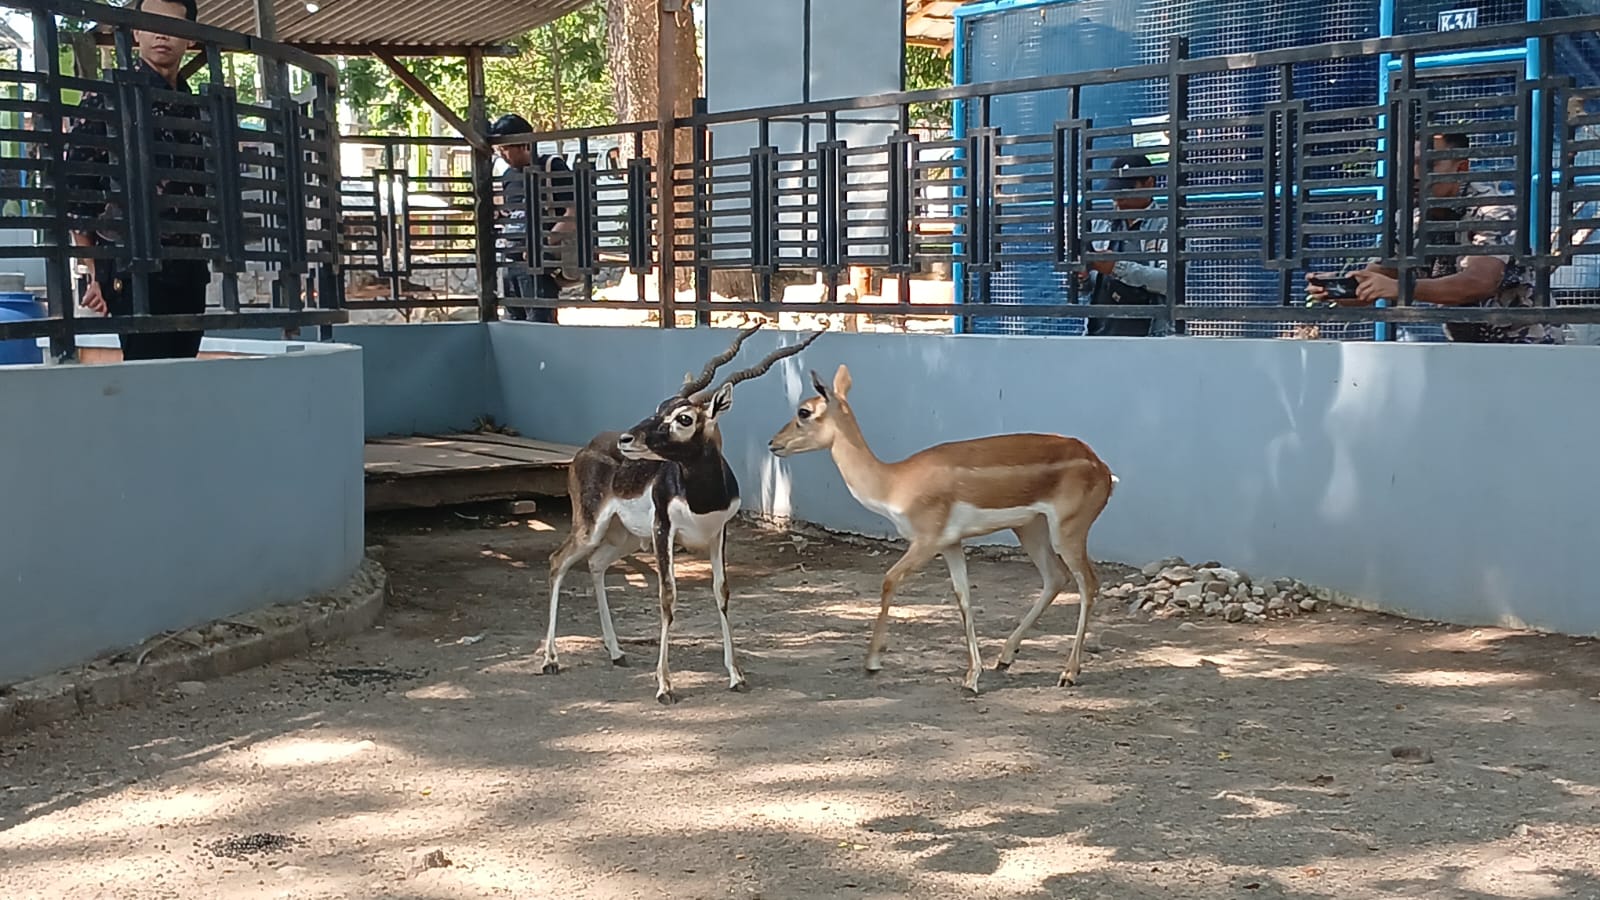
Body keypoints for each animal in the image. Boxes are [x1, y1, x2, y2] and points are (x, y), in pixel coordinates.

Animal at [547, 321, 825, 701]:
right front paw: (664, 684)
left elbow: (722, 592)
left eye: (683, 418)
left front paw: (736, 674)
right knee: (557, 562)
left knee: (595, 564)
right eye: (660, 406)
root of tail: (586, 448)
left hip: (624, 537)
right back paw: (550, 660)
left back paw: (616, 652)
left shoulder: (718, 534)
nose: (627, 440)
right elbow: (668, 595)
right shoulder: (663, 530)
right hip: (591, 528)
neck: (701, 497)